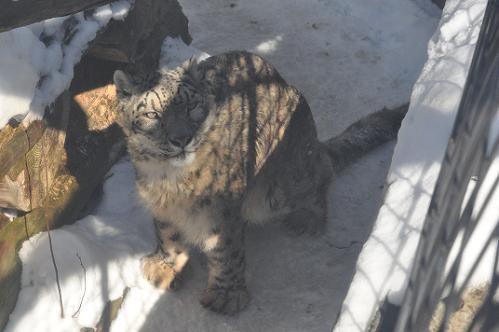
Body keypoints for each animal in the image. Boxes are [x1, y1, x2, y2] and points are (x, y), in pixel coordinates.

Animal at [112, 50, 406, 316]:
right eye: (152, 114)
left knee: (320, 173)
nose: (181, 139)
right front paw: (167, 266)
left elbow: (226, 248)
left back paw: (307, 218)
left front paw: (226, 295)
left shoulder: (223, 208)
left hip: (281, 186)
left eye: (191, 105)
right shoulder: (158, 203)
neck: (169, 179)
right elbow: (166, 233)